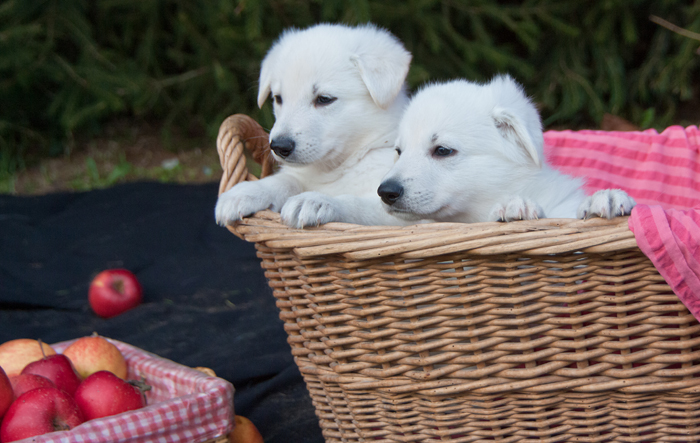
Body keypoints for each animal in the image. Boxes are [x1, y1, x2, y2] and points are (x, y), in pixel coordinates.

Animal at [216, 22, 412, 227]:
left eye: (324, 99)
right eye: (278, 98)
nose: (279, 147)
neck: (335, 168)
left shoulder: (400, 214)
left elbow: (355, 203)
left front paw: (315, 200)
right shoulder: (299, 175)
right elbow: (284, 180)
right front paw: (246, 191)